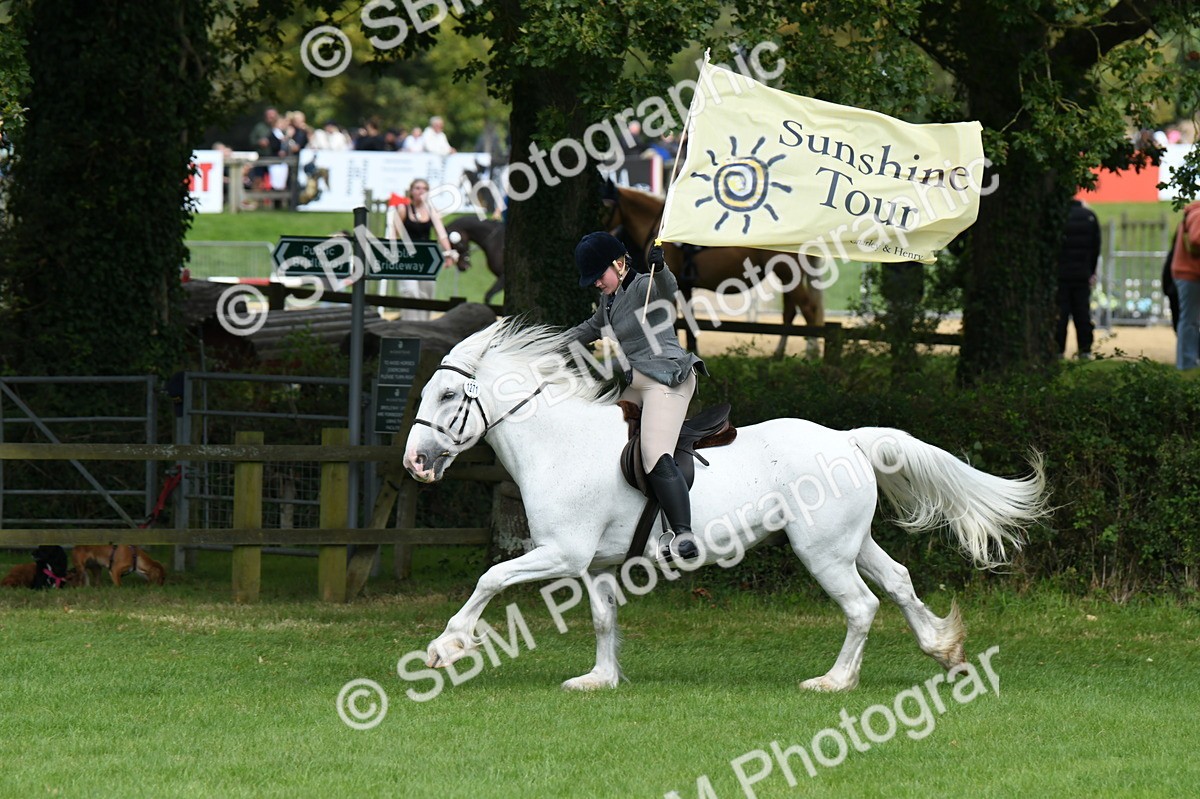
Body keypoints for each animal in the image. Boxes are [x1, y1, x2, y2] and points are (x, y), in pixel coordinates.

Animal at [403, 320, 1048, 692]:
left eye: (447, 394)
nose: (415, 462)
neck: (558, 442)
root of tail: (847, 440)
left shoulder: (561, 554)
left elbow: (489, 579)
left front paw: (446, 647)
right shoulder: (593, 564)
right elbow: (603, 618)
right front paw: (600, 679)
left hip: (823, 552)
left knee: (862, 606)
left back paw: (834, 681)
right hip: (851, 542)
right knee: (898, 582)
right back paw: (943, 650)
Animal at [606, 184, 826, 358]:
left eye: (607, 205)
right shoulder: (684, 286)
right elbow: (689, 321)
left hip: (786, 274)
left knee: (807, 309)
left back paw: (811, 353)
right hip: (788, 277)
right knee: (790, 313)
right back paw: (779, 354)